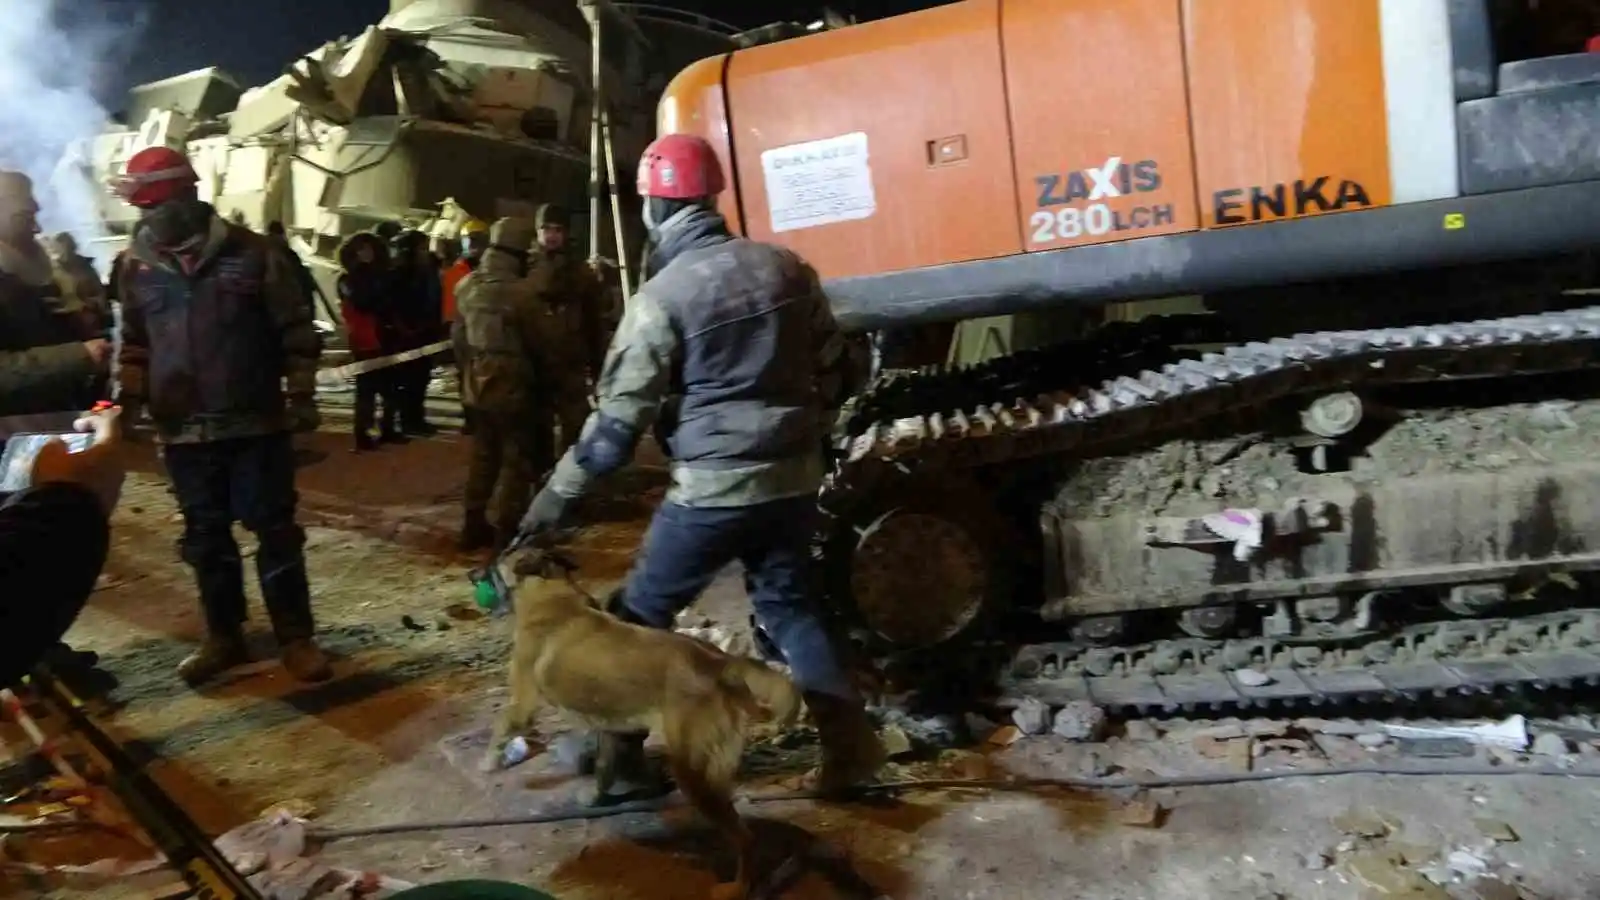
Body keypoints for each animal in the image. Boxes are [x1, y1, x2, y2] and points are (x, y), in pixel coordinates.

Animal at [486, 544, 800, 890]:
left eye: (498, 560)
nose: (473, 573)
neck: (551, 589)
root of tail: (720, 663)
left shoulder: (522, 705)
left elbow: (500, 727)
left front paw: (489, 762)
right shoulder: (610, 726)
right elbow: (605, 766)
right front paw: (597, 796)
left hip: (694, 775)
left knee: (744, 837)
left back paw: (737, 887)